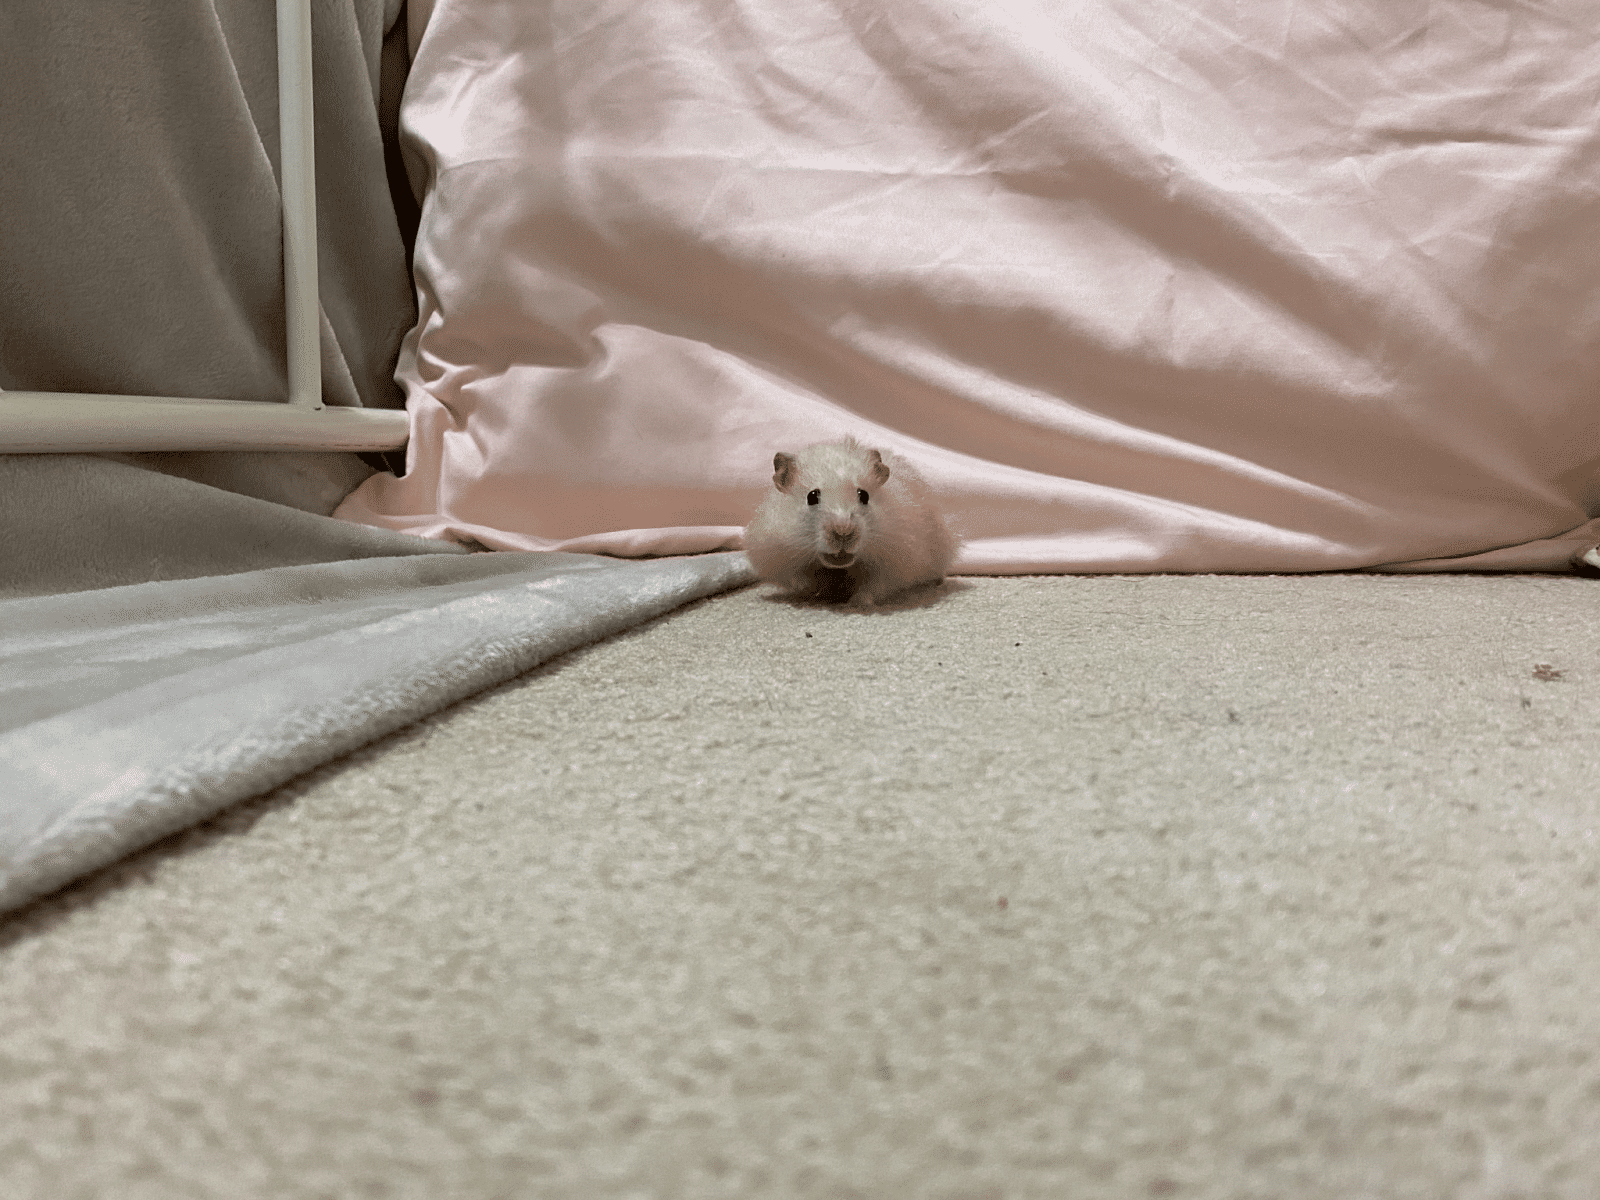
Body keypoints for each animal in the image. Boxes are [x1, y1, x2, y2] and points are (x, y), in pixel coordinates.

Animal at [742, 437, 960, 606]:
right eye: (811, 497)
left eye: (864, 495)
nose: (843, 532)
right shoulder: (774, 552)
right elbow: (797, 580)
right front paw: (815, 591)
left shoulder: (896, 559)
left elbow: (875, 587)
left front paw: (856, 602)